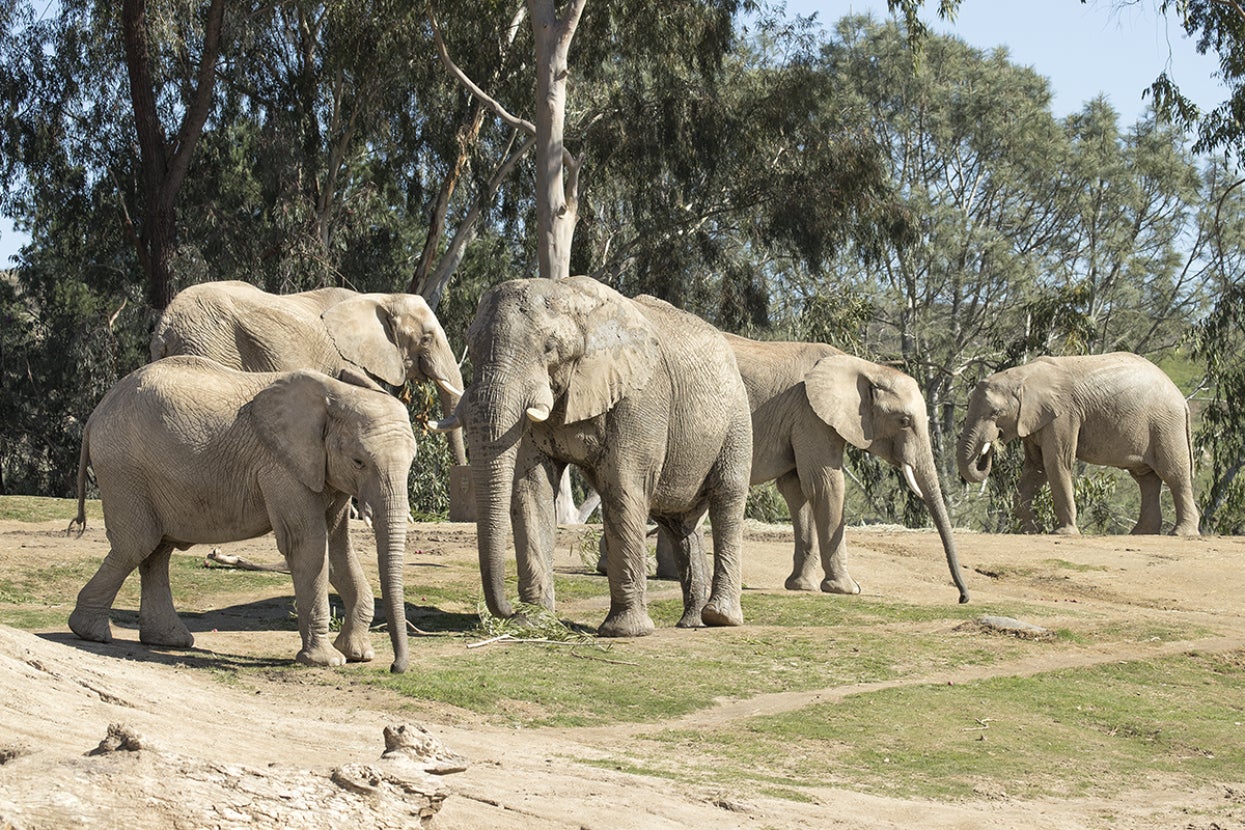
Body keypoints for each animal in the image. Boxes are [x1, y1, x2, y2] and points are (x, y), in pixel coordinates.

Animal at [67, 355, 419, 672]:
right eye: (359, 461)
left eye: (412, 460)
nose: (396, 668)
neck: (336, 394)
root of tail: (96, 414)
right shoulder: (281, 468)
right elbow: (308, 543)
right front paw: (327, 661)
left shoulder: (325, 474)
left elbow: (337, 546)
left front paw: (359, 654)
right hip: (123, 467)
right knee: (137, 544)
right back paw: (91, 633)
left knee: (157, 551)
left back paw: (169, 640)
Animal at [435, 276, 753, 637]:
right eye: (470, 346)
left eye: (549, 347)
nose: (507, 612)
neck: (572, 298)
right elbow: (531, 489)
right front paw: (534, 623)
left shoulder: (639, 397)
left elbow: (623, 486)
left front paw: (624, 632)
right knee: (678, 523)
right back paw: (692, 622)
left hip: (736, 418)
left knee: (727, 500)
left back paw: (720, 618)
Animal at [722, 334, 969, 602]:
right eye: (904, 421)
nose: (963, 597)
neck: (865, 368)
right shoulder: (810, 414)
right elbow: (825, 484)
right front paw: (849, 589)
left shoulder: (799, 418)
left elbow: (796, 487)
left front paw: (802, 586)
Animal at [957, 352, 1200, 536]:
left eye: (996, 413)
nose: (991, 445)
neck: (1023, 374)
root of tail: (1181, 398)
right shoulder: (1036, 420)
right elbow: (1035, 468)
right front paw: (1032, 531)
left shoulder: (1063, 415)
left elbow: (1056, 462)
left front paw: (1062, 533)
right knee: (1146, 479)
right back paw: (1140, 534)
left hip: (1165, 425)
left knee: (1173, 473)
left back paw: (1181, 533)